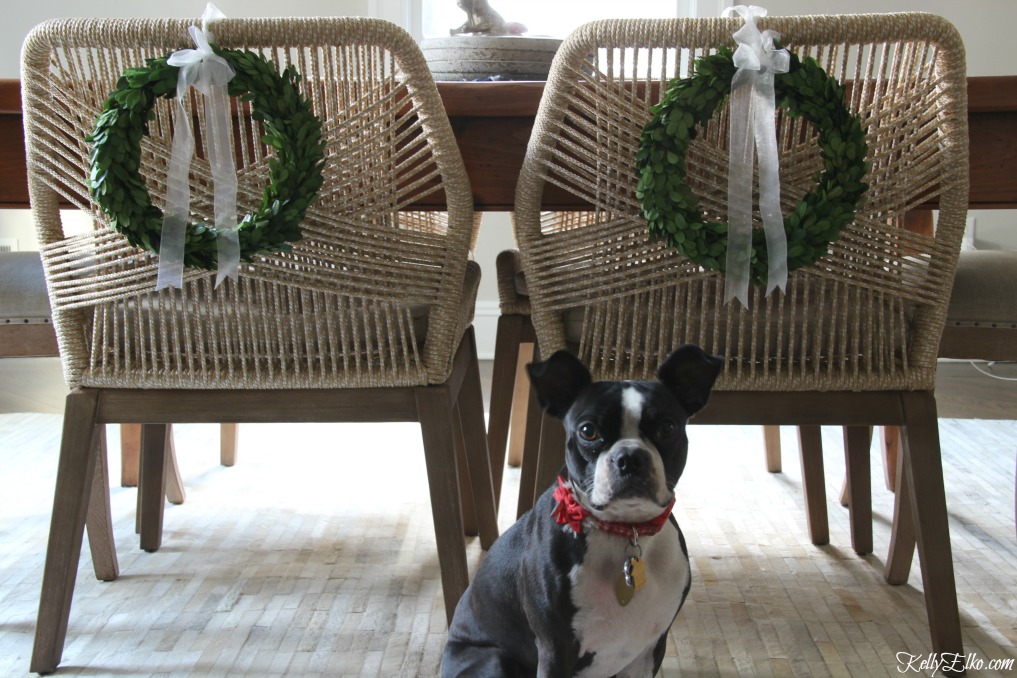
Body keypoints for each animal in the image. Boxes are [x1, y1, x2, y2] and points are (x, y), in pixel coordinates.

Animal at [443, 347, 724, 674]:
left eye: (667, 428)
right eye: (588, 431)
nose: (630, 457)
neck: (625, 531)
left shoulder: (649, 649)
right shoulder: (555, 648)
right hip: (492, 661)